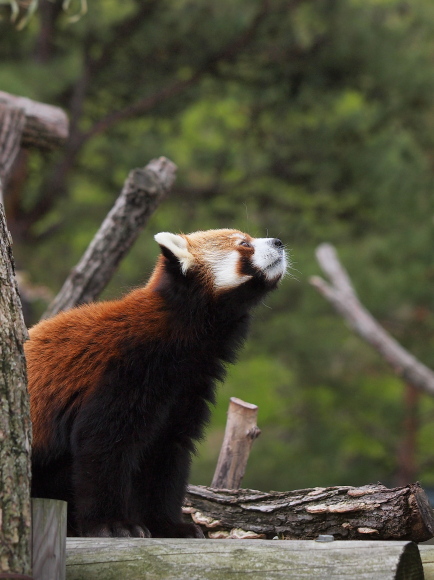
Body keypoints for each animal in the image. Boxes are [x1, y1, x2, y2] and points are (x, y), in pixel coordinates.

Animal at [25, 229, 286, 536]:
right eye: (244, 244)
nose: (279, 243)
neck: (183, 335)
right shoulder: (127, 368)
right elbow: (102, 443)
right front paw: (112, 524)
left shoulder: (186, 387)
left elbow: (164, 454)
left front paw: (168, 526)